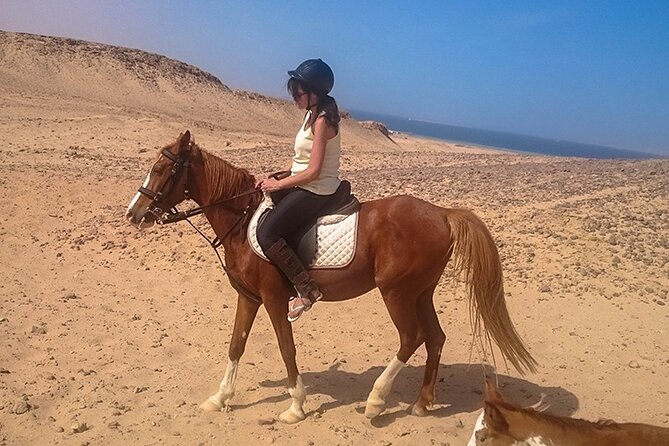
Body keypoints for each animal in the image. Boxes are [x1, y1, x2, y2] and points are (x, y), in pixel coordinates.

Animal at [125, 131, 537, 423]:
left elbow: (286, 349)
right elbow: (235, 346)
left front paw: (296, 406)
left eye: (160, 170)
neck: (241, 223)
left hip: (396, 293)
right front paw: (220, 398)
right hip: (421, 292)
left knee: (412, 338)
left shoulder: (274, 299)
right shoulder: (249, 297)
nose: (133, 213)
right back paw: (422, 403)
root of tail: (442, 213)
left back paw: (375, 401)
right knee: (435, 338)